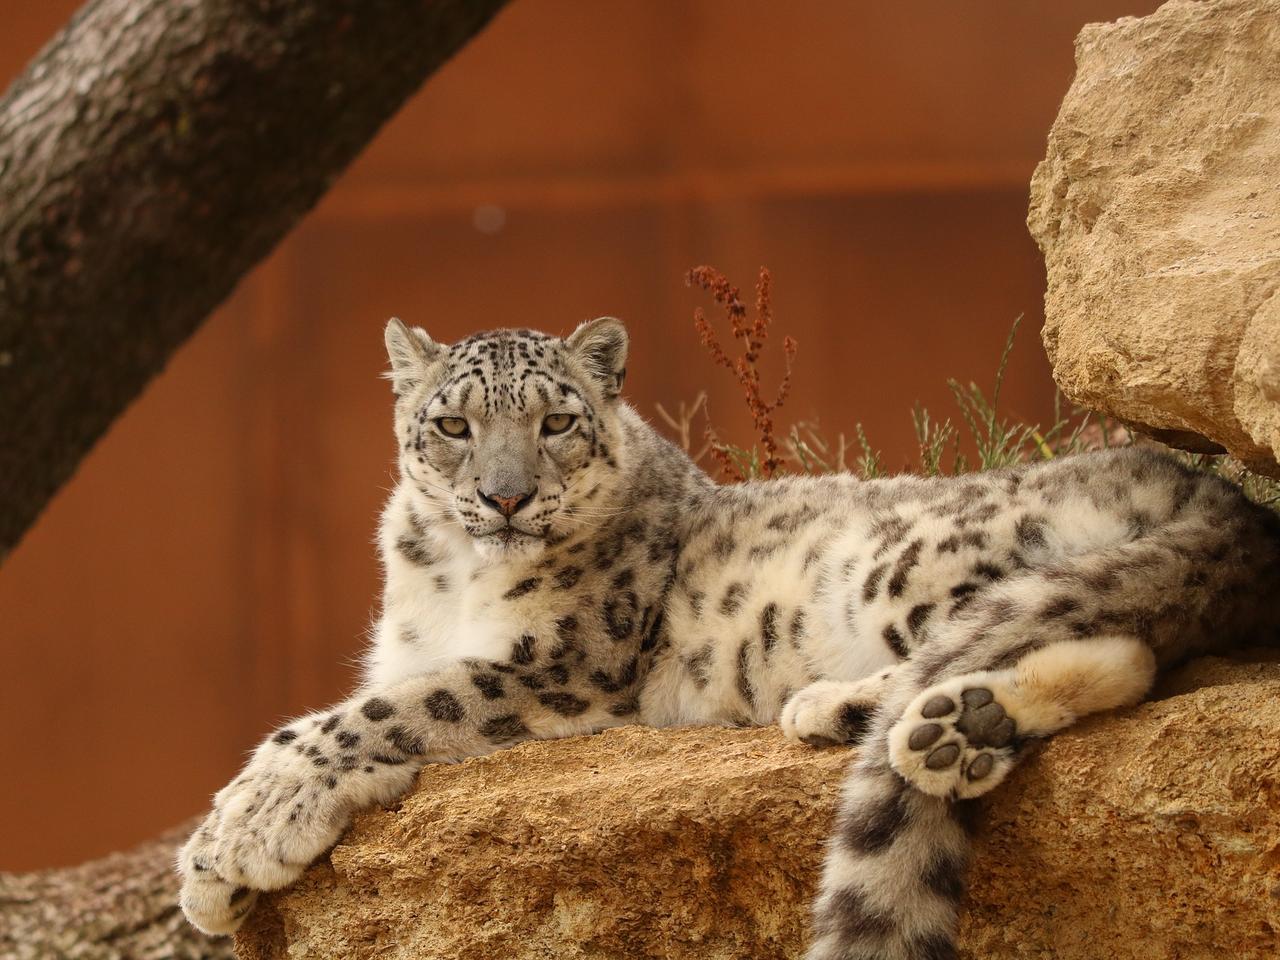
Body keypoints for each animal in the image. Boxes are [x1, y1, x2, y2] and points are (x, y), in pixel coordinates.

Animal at [177, 316, 1280, 960]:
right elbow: (374, 702)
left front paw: (236, 834)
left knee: (1027, 626)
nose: (504, 497)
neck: (444, 574)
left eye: (556, 422)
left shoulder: (568, 665)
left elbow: (367, 715)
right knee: (1132, 649)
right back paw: (958, 729)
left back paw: (859, 708)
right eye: (452, 427)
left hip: (907, 565)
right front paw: (217, 880)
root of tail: (1208, 486)